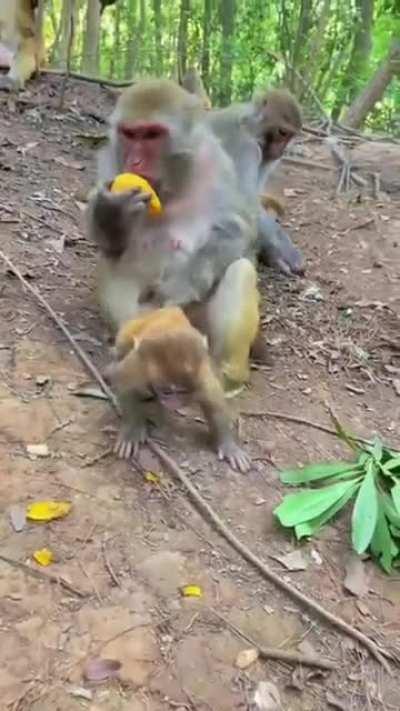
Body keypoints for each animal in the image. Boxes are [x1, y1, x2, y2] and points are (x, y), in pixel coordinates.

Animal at [88, 78, 261, 392]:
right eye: (130, 134)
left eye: (152, 134)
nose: (134, 162)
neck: (173, 183)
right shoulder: (108, 164)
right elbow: (112, 245)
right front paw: (111, 211)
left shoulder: (215, 162)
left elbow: (236, 228)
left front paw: (182, 285)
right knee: (114, 265)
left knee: (240, 270)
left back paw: (227, 375)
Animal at [105, 307, 251, 472]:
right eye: (167, 392)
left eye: (182, 392)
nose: (173, 402)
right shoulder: (139, 368)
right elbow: (125, 385)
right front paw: (131, 432)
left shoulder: (202, 378)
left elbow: (215, 406)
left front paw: (228, 446)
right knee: (123, 346)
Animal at [207, 89, 305, 276]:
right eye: (282, 132)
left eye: (290, 136)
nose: (281, 150)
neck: (250, 126)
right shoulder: (247, 148)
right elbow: (246, 205)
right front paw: (282, 250)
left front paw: (271, 253)